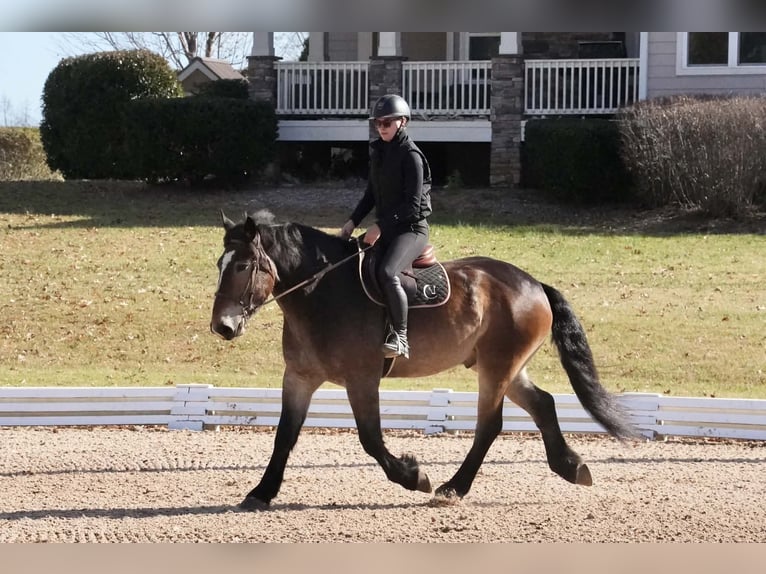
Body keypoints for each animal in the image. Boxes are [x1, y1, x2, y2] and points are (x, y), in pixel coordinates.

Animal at [210, 211, 640, 509]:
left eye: (243, 266)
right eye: (220, 265)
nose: (222, 327)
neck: (321, 293)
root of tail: (533, 284)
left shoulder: (362, 378)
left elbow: (370, 438)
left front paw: (414, 476)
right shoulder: (299, 377)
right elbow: (284, 435)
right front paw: (261, 492)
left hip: (497, 367)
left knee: (490, 424)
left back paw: (453, 487)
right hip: (505, 367)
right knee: (544, 403)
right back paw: (571, 467)